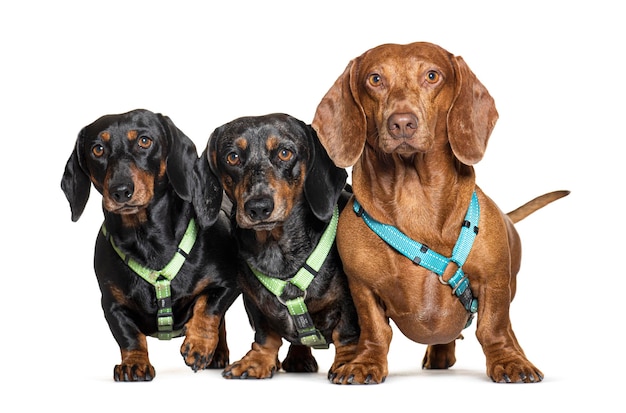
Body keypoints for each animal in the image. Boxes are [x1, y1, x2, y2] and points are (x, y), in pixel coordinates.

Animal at [61, 108, 240, 380]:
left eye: (145, 141)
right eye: (97, 149)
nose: (120, 191)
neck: (147, 240)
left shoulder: (227, 284)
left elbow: (208, 309)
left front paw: (198, 345)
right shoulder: (112, 305)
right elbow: (128, 336)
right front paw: (134, 363)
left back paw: (216, 353)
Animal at [194, 112, 360, 376]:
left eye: (285, 153)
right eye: (232, 157)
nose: (258, 207)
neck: (277, 250)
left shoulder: (348, 304)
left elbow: (346, 335)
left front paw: (348, 363)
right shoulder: (254, 302)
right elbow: (266, 336)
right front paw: (256, 361)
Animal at [310, 42, 568, 384]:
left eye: (432, 76)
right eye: (375, 79)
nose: (402, 123)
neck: (414, 199)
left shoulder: (494, 282)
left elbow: (493, 328)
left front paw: (508, 360)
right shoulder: (362, 288)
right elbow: (375, 331)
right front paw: (365, 363)